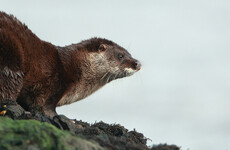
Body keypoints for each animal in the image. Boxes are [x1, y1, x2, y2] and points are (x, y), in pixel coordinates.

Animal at [0, 11, 140, 117]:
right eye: (120, 55)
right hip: (12, 60)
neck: (73, 67)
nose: (137, 63)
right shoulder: (53, 85)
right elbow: (44, 105)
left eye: (130, 53)